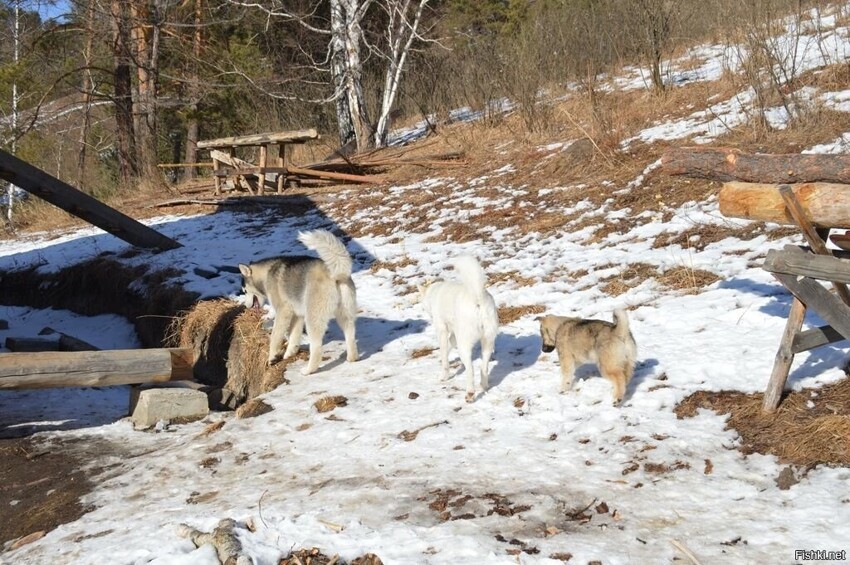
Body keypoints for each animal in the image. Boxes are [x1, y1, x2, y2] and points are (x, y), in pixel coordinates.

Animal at [418, 256, 496, 400]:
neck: (435, 292)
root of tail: (477, 297)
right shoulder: (454, 334)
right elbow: (449, 345)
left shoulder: (442, 330)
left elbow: (444, 355)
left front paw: (443, 376)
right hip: (488, 342)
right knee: (484, 368)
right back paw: (484, 386)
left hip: (464, 345)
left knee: (470, 370)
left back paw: (470, 394)